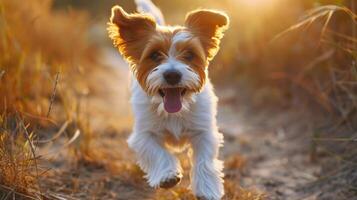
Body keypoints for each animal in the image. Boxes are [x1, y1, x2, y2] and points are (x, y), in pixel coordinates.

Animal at [107, 4, 228, 200]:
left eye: (189, 55)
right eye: (155, 55)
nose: (172, 75)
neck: (176, 110)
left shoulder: (204, 131)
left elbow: (204, 160)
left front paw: (207, 188)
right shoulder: (144, 134)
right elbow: (157, 152)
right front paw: (167, 175)